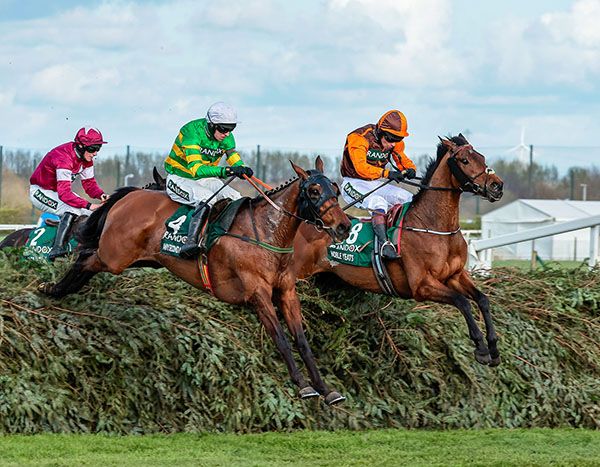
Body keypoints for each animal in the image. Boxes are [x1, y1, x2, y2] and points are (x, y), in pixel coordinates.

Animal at [39, 157, 354, 406]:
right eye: (314, 190)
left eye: (335, 188)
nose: (344, 226)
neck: (267, 233)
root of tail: (130, 196)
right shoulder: (258, 293)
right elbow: (281, 339)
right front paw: (303, 386)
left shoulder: (286, 291)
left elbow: (302, 341)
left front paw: (325, 389)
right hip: (114, 256)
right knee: (84, 258)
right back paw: (52, 286)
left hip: (140, 258)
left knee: (87, 259)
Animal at [292, 137, 504, 368]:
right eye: (464, 160)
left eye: (482, 157)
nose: (497, 185)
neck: (433, 226)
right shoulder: (422, 286)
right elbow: (462, 302)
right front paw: (481, 348)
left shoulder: (455, 275)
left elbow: (482, 299)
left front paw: (493, 348)